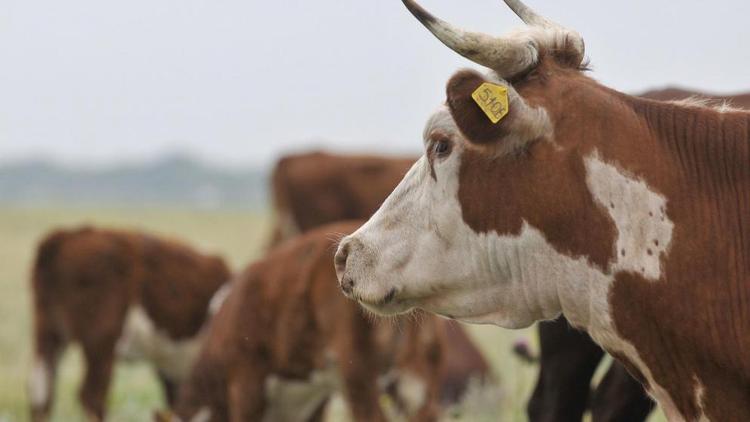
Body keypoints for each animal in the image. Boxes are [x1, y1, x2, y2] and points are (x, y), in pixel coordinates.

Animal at [28, 227, 229, 422]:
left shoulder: (171, 366)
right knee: (91, 395)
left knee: (41, 393)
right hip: (101, 339)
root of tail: (63, 237)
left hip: (48, 331)